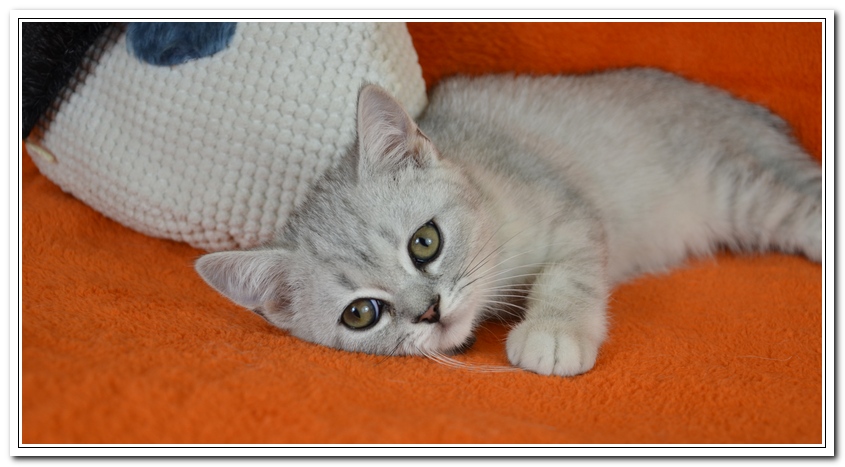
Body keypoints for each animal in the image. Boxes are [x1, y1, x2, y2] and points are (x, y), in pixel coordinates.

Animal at [195, 68, 822, 377]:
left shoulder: (572, 212)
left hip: (741, 189)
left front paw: (554, 334)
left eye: (425, 242)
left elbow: (567, 276)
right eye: (361, 314)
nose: (430, 310)